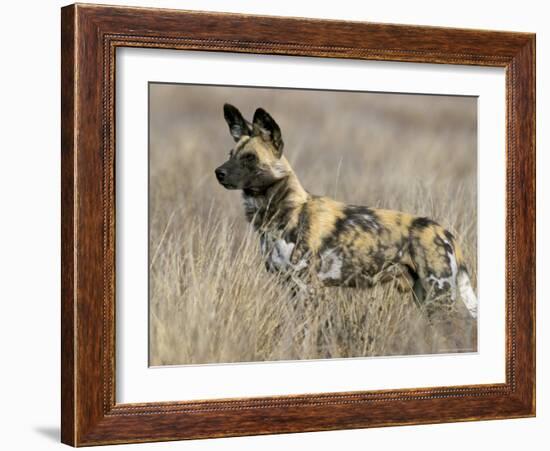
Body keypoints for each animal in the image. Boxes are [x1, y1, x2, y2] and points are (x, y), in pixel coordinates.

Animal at [216, 104, 478, 324]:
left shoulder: (307, 288)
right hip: (425, 298)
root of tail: (444, 232)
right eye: (230, 154)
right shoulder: (290, 286)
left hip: (439, 298)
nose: (218, 172)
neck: (283, 212)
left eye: (250, 158)